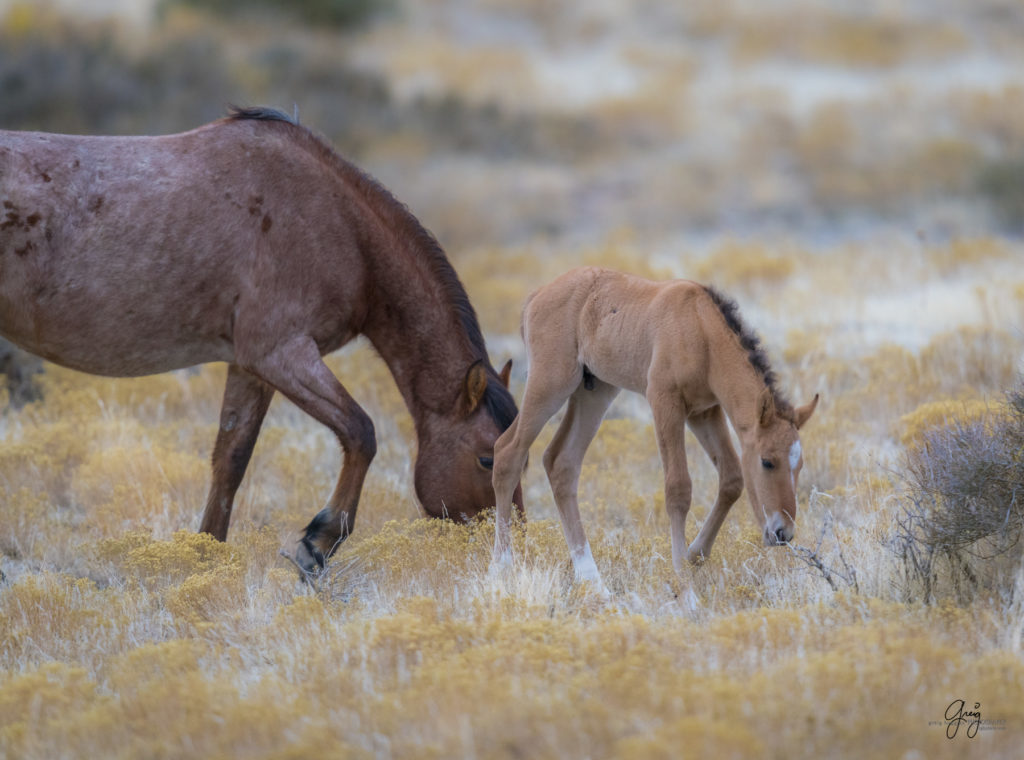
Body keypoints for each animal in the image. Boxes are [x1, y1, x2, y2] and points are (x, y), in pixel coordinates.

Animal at [0, 105, 520, 573]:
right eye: (487, 459)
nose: (513, 545)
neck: (340, 226)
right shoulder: (282, 354)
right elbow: (361, 432)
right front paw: (318, 543)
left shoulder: (251, 367)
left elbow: (231, 459)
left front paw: (206, 557)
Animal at [491, 268, 819, 594]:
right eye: (767, 461)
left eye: (800, 465)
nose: (783, 532)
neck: (700, 328)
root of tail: (537, 295)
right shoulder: (664, 402)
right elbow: (678, 489)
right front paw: (685, 586)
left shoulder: (704, 411)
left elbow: (732, 479)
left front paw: (694, 555)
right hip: (550, 384)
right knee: (507, 452)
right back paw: (501, 568)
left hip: (595, 392)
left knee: (561, 463)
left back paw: (592, 581)